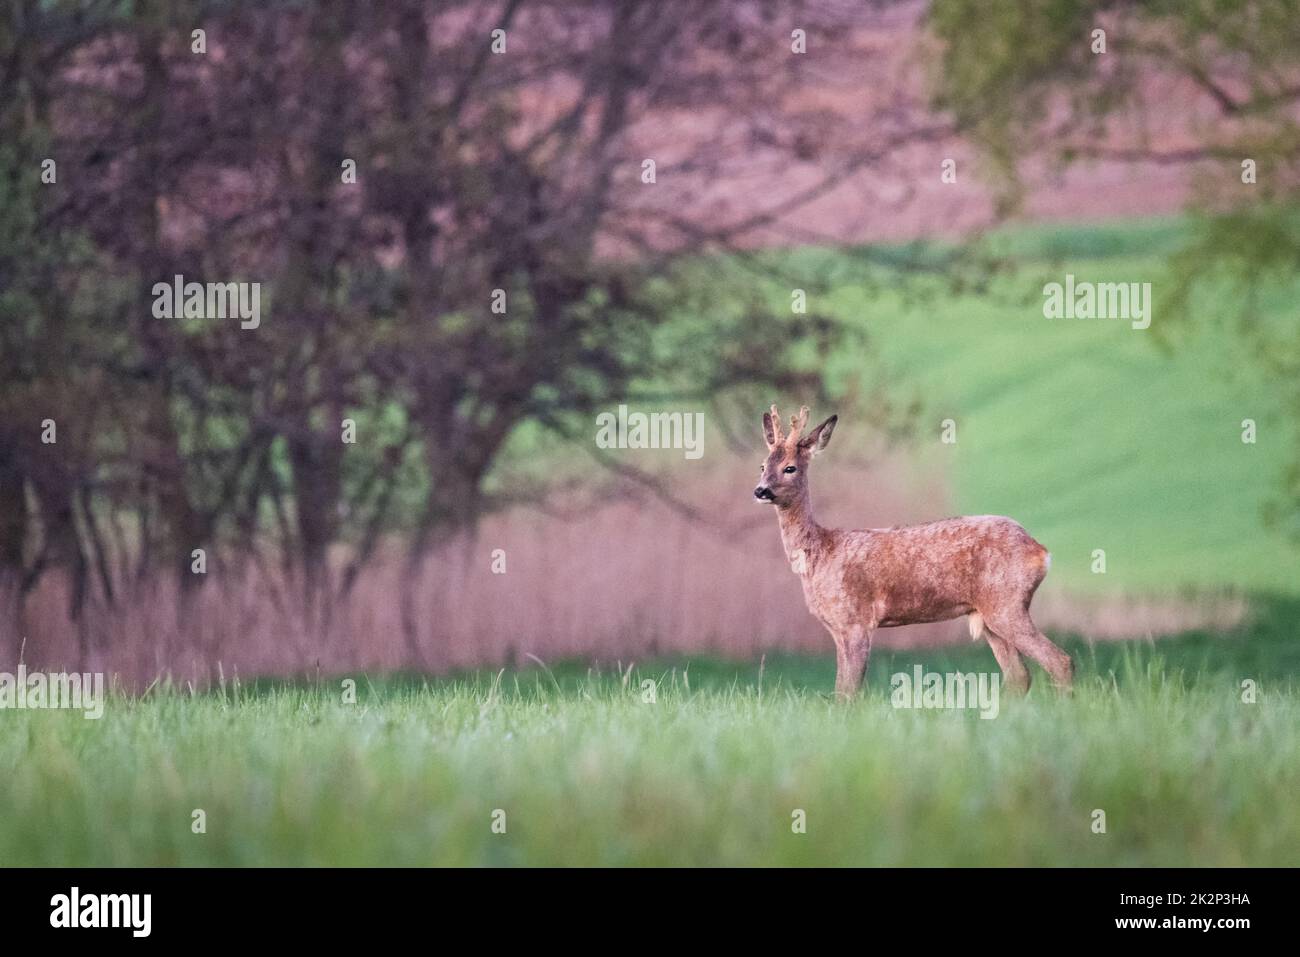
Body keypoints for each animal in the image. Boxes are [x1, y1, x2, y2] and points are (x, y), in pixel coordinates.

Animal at [755, 404, 1073, 700]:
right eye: (762, 465)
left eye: (790, 468)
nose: (760, 490)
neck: (819, 554)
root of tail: (1041, 552)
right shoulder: (836, 627)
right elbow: (840, 690)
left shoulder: (856, 619)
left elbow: (849, 692)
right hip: (989, 615)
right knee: (1019, 675)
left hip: (1006, 602)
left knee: (1060, 661)